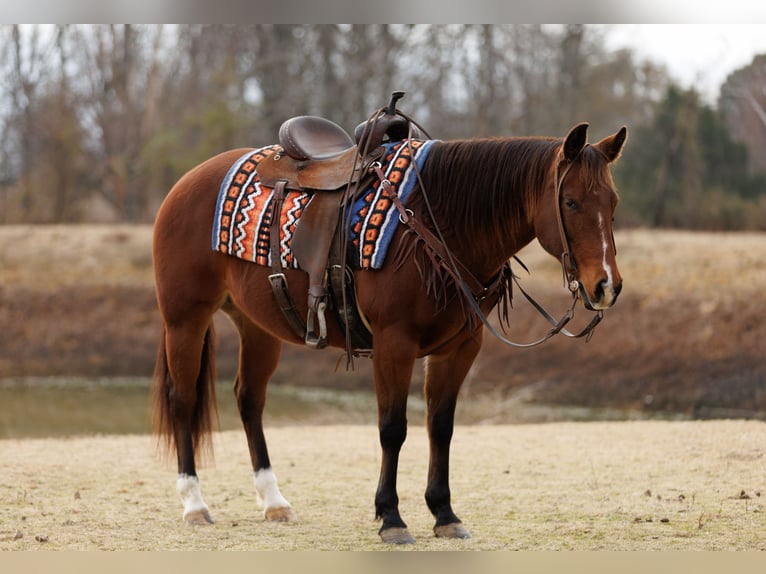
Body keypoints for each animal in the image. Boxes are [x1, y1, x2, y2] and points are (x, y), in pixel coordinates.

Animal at [151, 120, 627, 544]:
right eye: (570, 203)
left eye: (613, 203)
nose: (606, 286)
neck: (437, 225)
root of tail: (187, 180)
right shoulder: (392, 344)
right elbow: (392, 428)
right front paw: (391, 518)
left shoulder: (460, 347)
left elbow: (440, 426)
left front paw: (444, 514)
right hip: (185, 319)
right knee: (183, 398)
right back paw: (194, 504)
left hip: (257, 326)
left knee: (249, 399)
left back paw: (273, 501)